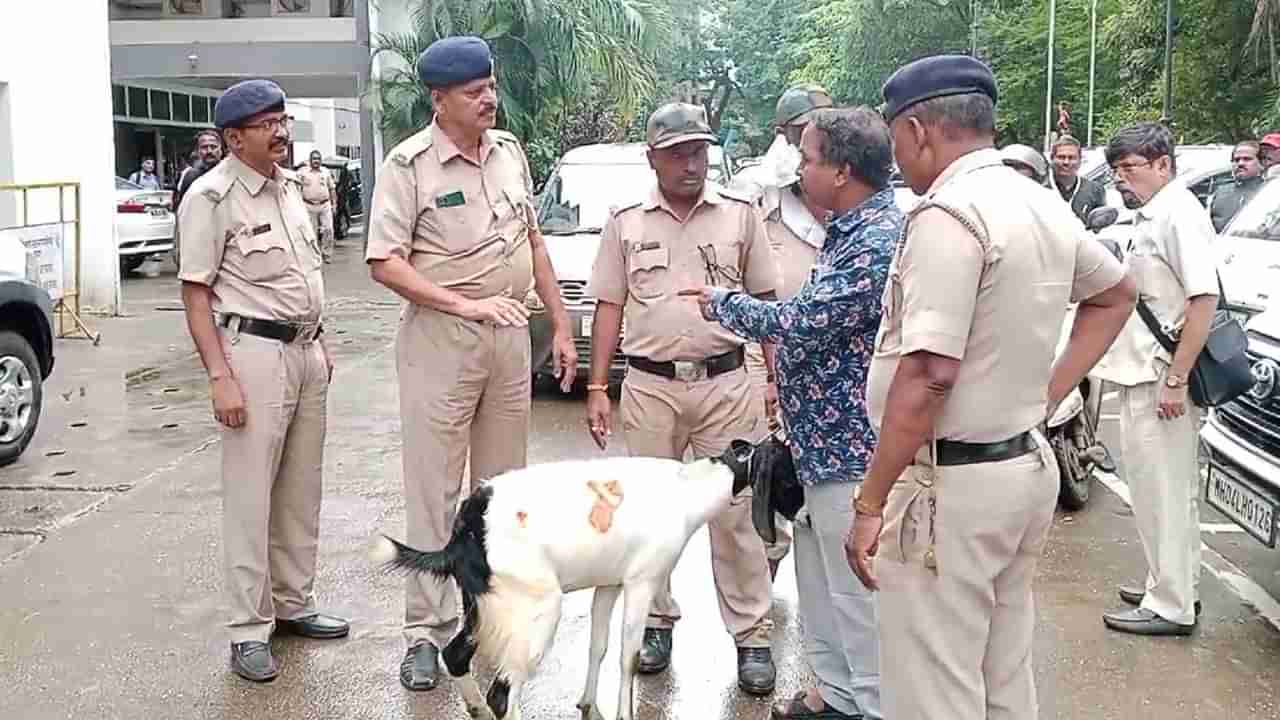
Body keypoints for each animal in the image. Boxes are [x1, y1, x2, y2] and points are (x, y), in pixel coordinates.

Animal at [371, 438, 752, 717]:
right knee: (503, 692)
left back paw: (476, 707)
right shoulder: (641, 582)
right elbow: (628, 656)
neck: (687, 491)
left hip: (483, 603)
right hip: (536, 609)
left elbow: (598, 645)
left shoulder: (609, 583)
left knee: (455, 655)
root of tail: (471, 520)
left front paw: (588, 703)